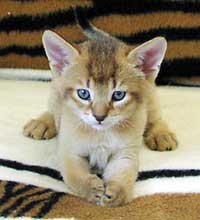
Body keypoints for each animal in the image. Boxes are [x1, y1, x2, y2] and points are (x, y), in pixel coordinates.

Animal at [22, 18, 177, 206]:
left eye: (118, 95)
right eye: (83, 93)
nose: (99, 116)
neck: (100, 135)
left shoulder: (125, 154)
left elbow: (124, 174)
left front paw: (117, 193)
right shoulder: (69, 152)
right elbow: (74, 176)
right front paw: (91, 189)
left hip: (151, 96)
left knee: (156, 117)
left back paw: (162, 135)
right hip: (55, 91)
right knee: (52, 109)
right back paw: (41, 124)